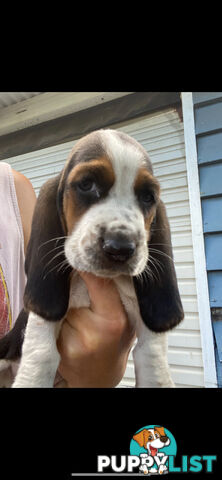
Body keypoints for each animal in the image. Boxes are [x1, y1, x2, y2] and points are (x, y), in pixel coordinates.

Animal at [0, 127, 184, 386]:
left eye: (148, 197)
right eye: (87, 184)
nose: (120, 247)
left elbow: (151, 354)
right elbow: (42, 351)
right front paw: (32, 381)